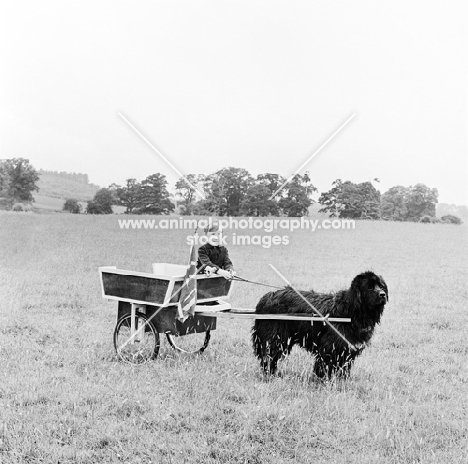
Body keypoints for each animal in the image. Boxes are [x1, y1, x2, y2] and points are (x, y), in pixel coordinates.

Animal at [252, 272, 388, 376]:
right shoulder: (330, 346)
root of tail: (266, 297)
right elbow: (326, 365)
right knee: (268, 355)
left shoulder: (347, 348)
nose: (383, 294)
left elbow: (343, 367)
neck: (351, 310)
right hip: (275, 336)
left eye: (381, 286)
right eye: (369, 287)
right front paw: (324, 380)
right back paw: (269, 374)